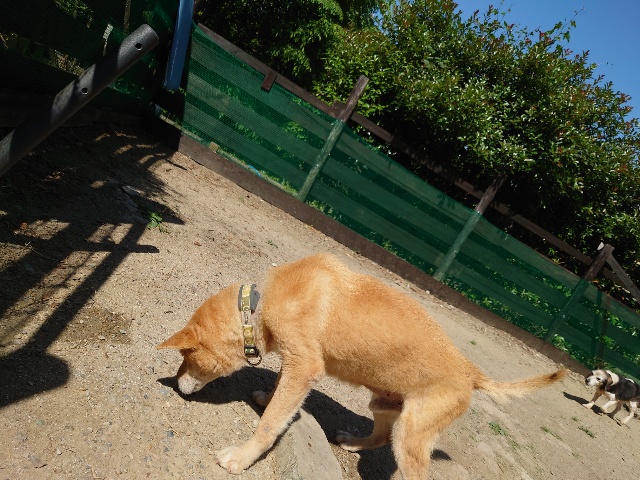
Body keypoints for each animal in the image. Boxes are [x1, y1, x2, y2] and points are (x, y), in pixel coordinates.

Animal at [158, 253, 566, 478]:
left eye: (186, 357)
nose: (176, 385)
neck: (258, 306)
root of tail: (471, 372)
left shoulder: (305, 365)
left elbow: (269, 425)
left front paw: (241, 459)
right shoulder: (295, 366)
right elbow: (279, 398)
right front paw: (267, 397)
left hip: (411, 436)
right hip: (383, 403)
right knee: (380, 435)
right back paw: (353, 442)